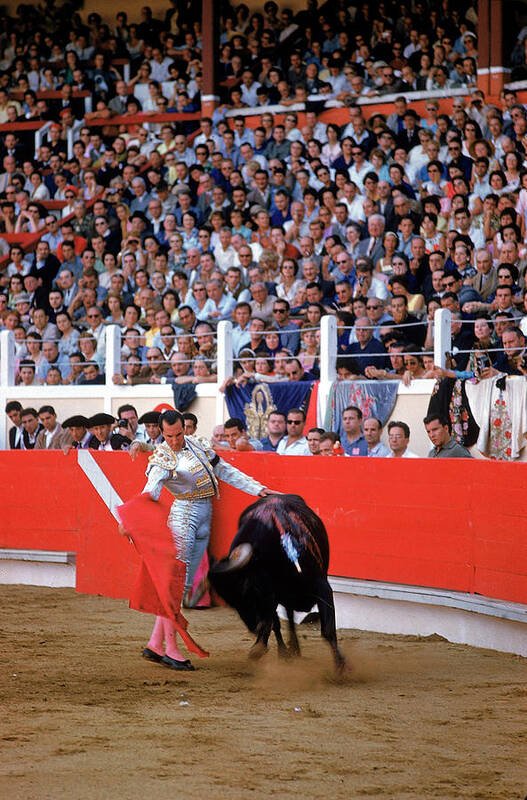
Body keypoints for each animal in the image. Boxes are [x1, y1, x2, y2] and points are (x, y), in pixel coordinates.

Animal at [208, 494, 348, 668]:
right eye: (229, 601)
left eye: (245, 587)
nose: (253, 626)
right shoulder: (271, 595)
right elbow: (274, 623)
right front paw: (264, 648)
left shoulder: (322, 587)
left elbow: (328, 629)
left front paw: (341, 666)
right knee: (282, 620)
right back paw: (286, 651)